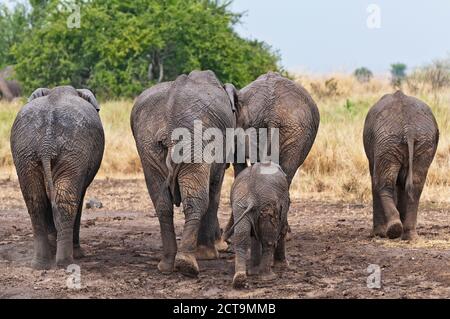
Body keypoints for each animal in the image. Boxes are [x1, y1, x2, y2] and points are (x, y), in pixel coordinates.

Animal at [10, 86, 104, 268]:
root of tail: (47, 144)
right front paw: (78, 254)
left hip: (26, 153)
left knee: (35, 201)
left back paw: (41, 263)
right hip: (72, 151)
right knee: (66, 201)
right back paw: (65, 262)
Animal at [131, 70, 239, 278]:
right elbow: (215, 190)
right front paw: (211, 254)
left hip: (149, 146)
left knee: (162, 204)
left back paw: (167, 265)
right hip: (197, 144)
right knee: (197, 200)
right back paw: (188, 264)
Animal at [223, 162, 290, 290]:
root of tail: (251, 198)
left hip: (240, 205)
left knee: (242, 237)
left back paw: (240, 280)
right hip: (266, 207)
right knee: (269, 241)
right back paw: (268, 278)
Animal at [362, 90, 440, 240]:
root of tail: (408, 129)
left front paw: (378, 234)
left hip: (387, 141)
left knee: (383, 182)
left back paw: (394, 230)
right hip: (421, 142)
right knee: (415, 184)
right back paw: (409, 235)